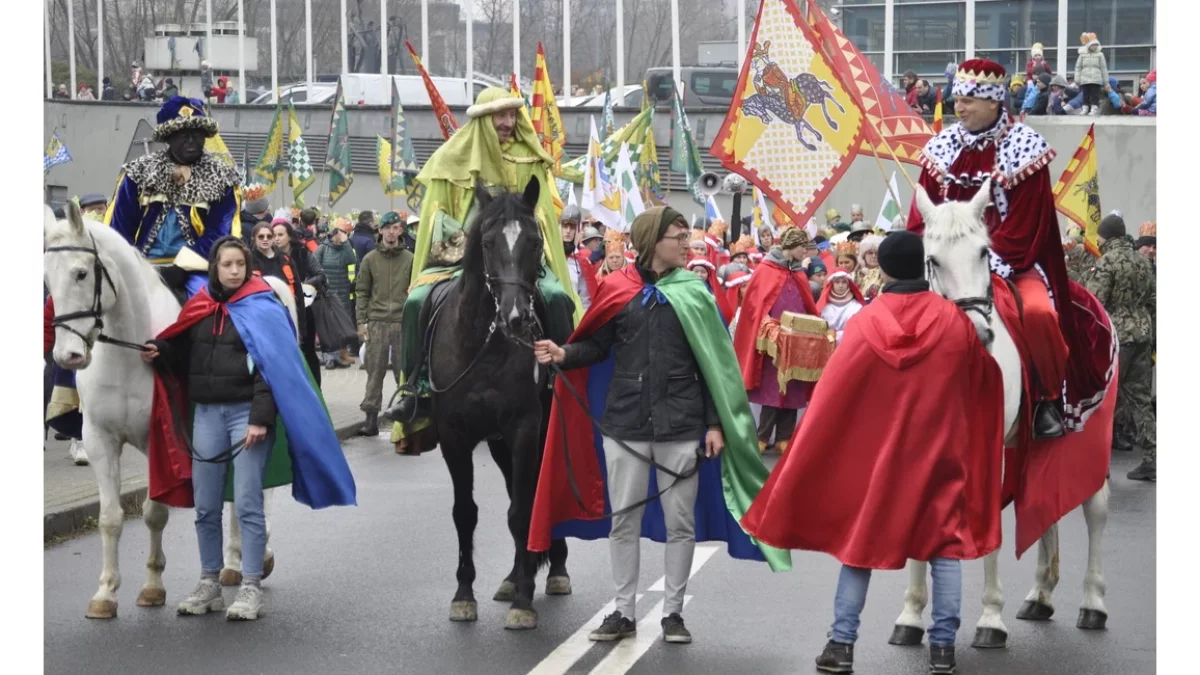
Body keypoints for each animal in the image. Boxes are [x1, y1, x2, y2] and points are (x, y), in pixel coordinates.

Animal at [44, 200, 297, 614]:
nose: (68, 356)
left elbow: (155, 512)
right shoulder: (99, 440)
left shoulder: (157, 441)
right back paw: (232, 562)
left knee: (259, 490)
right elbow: (110, 518)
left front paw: (151, 586)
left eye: (81, 273)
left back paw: (254, 558)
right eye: (47, 281)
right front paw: (105, 593)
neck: (128, 351)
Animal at [424, 176, 568, 629]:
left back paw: (551, 570)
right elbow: (465, 512)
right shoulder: (454, 435)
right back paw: (512, 576)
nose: (516, 317)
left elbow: (523, 511)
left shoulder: (524, 427)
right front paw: (463, 595)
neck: (483, 343)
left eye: (535, 242)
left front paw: (524, 600)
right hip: (499, 444)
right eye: (486, 242)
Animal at [888, 182, 1108, 648]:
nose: (980, 332)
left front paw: (990, 618)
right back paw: (1040, 595)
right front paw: (911, 614)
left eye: (984, 253)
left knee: (1095, 509)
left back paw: (1093, 603)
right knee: (1044, 502)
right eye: (932, 259)